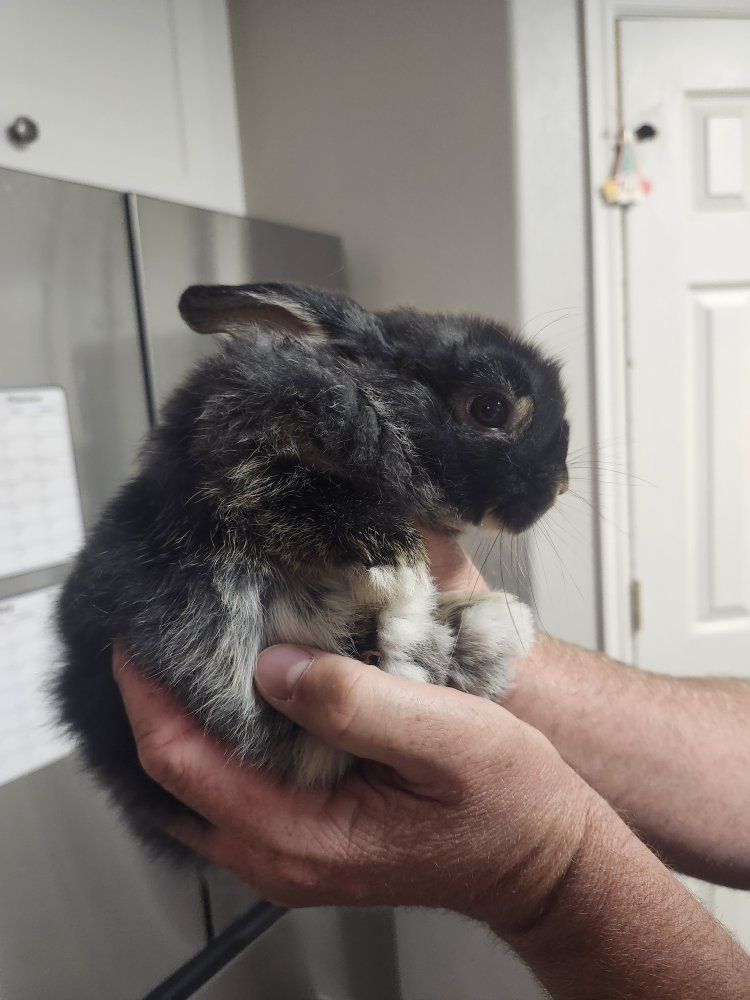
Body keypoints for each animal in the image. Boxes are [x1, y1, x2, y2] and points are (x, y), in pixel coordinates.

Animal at [54, 282, 569, 862]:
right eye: (489, 408)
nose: (559, 487)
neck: (375, 398)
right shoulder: (239, 445)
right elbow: (303, 497)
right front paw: (400, 568)